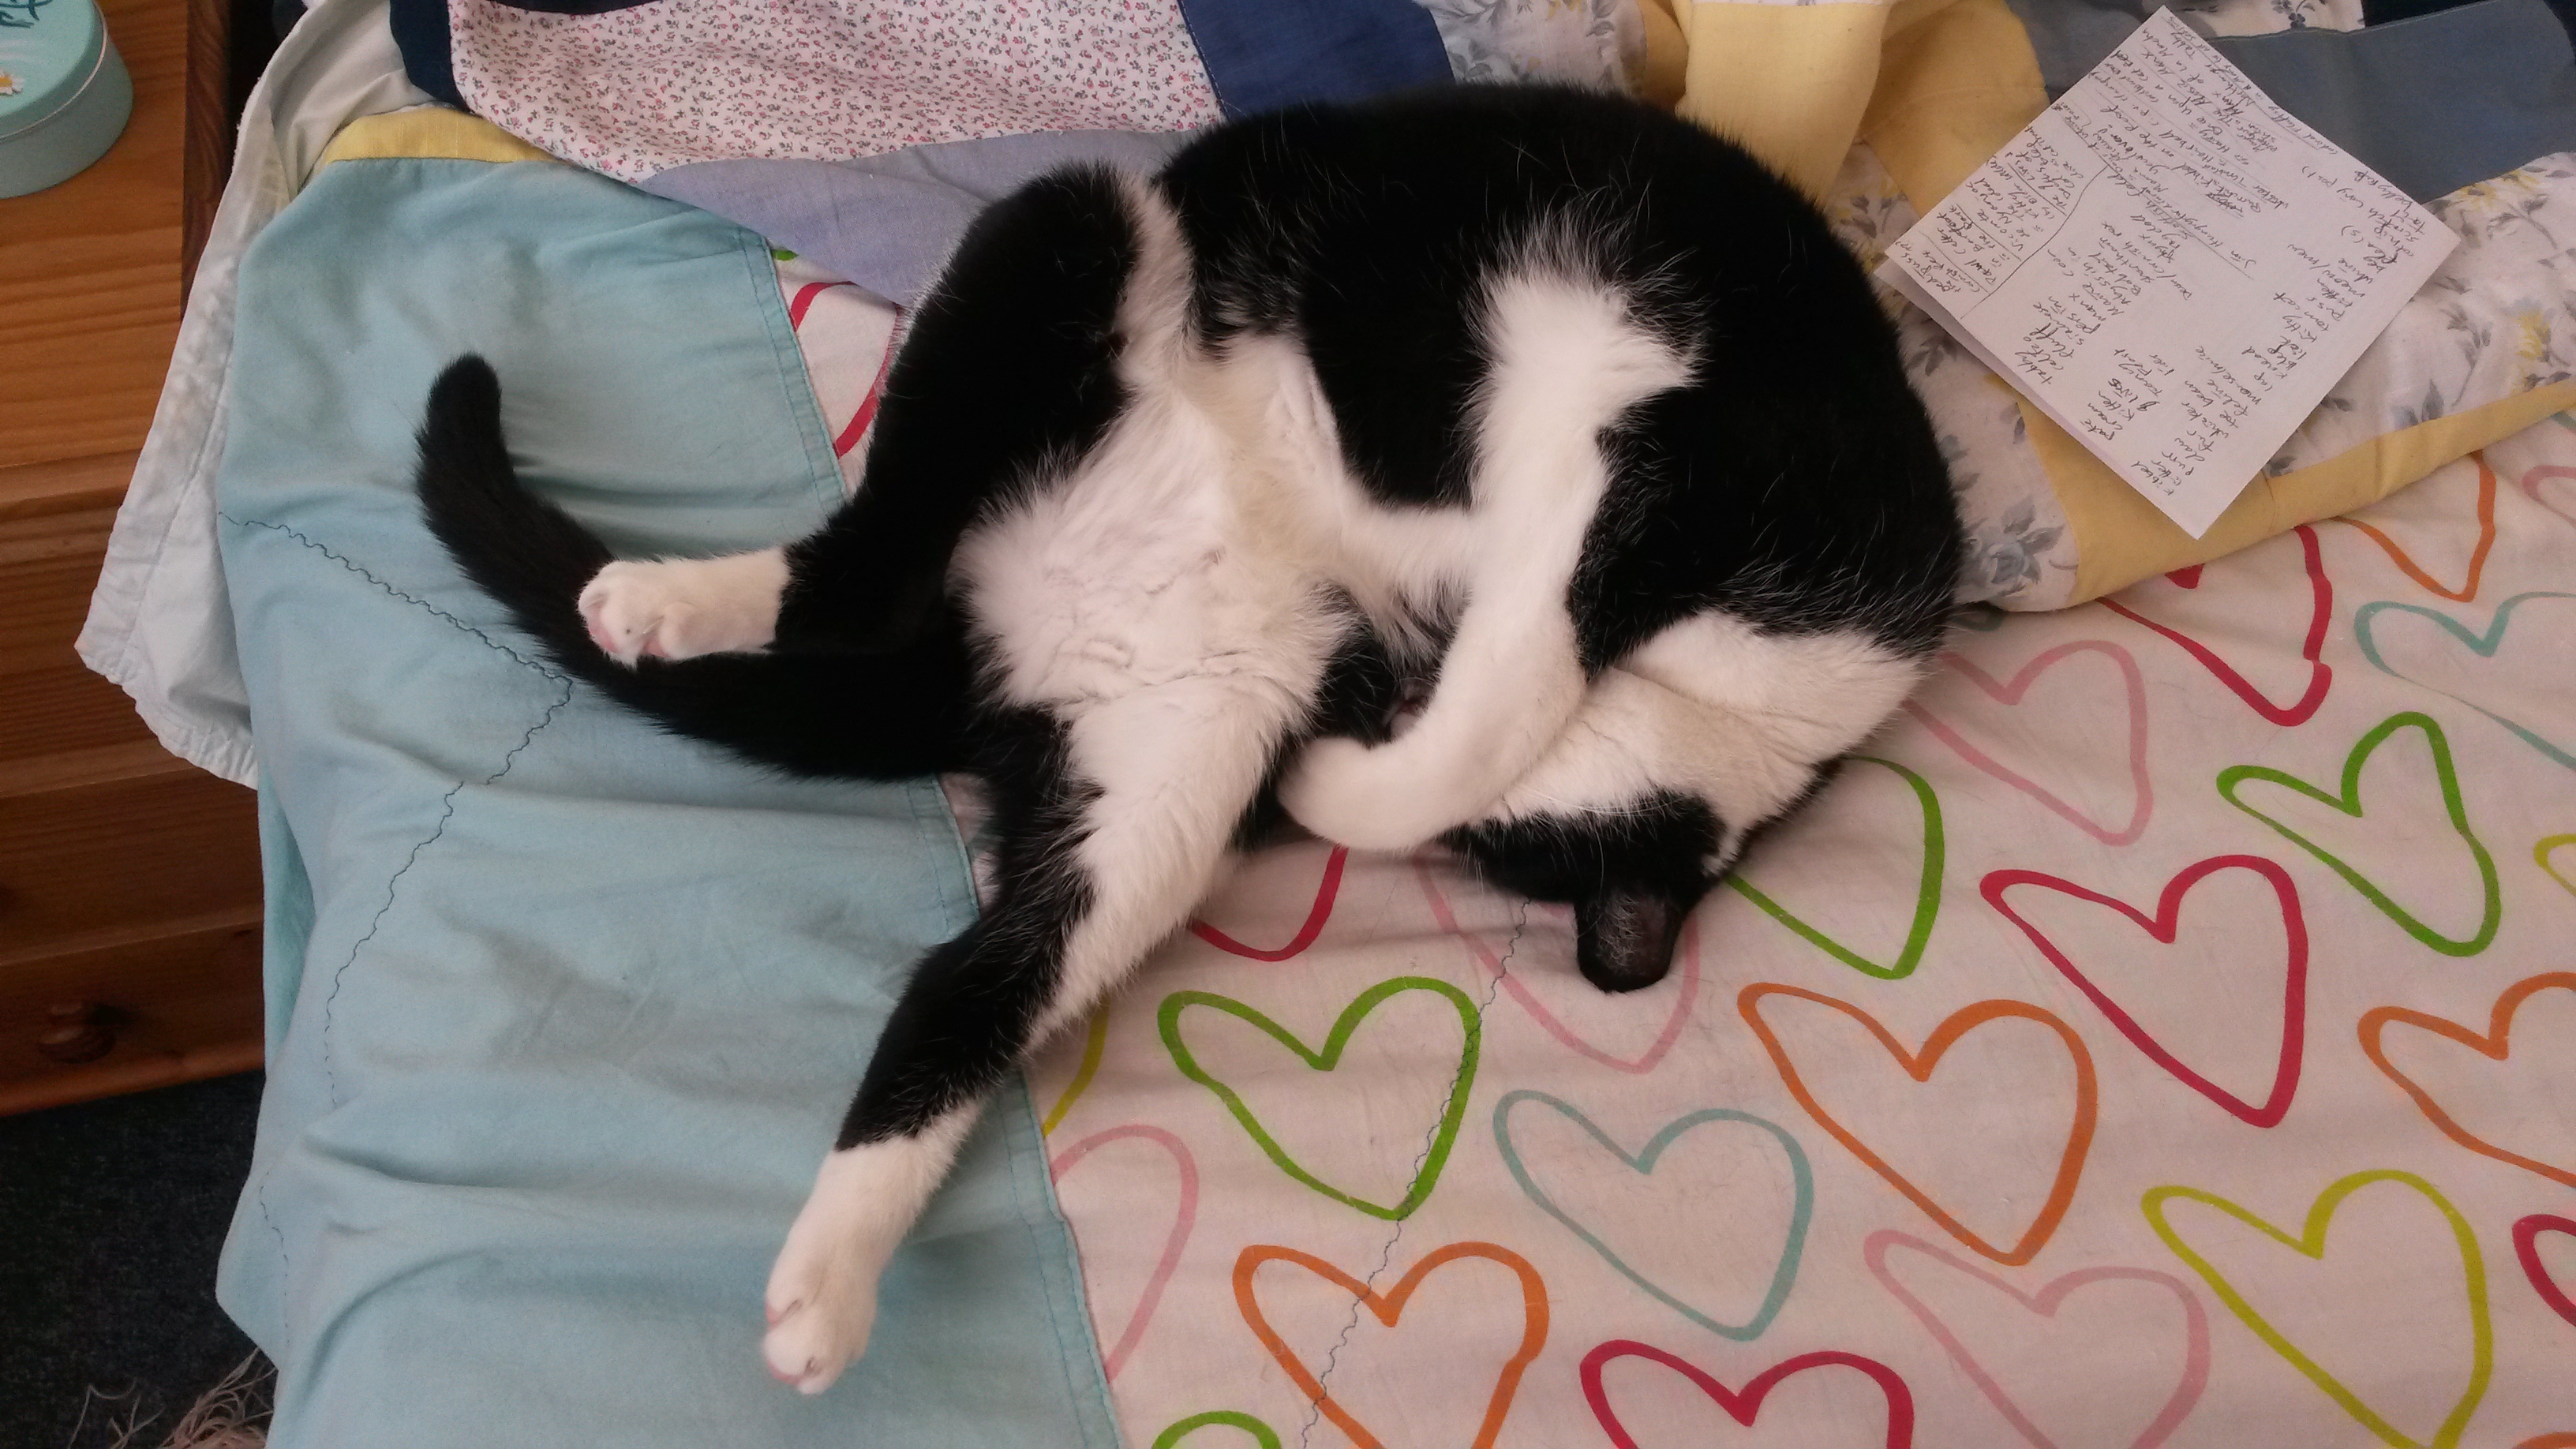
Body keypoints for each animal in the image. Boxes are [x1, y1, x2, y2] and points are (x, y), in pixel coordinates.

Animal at [417, 81, 1947, 1392]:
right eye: (1401, 701)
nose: (1361, 696)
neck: (1770, 696)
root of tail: (1000, 640)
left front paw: (1333, 774)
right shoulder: (1661, 473)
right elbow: (1509, 688)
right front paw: (1356, 778)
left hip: (1168, 787)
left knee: (978, 980)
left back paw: (821, 1296)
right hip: (1069, 231)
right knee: (859, 563)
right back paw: (662, 599)